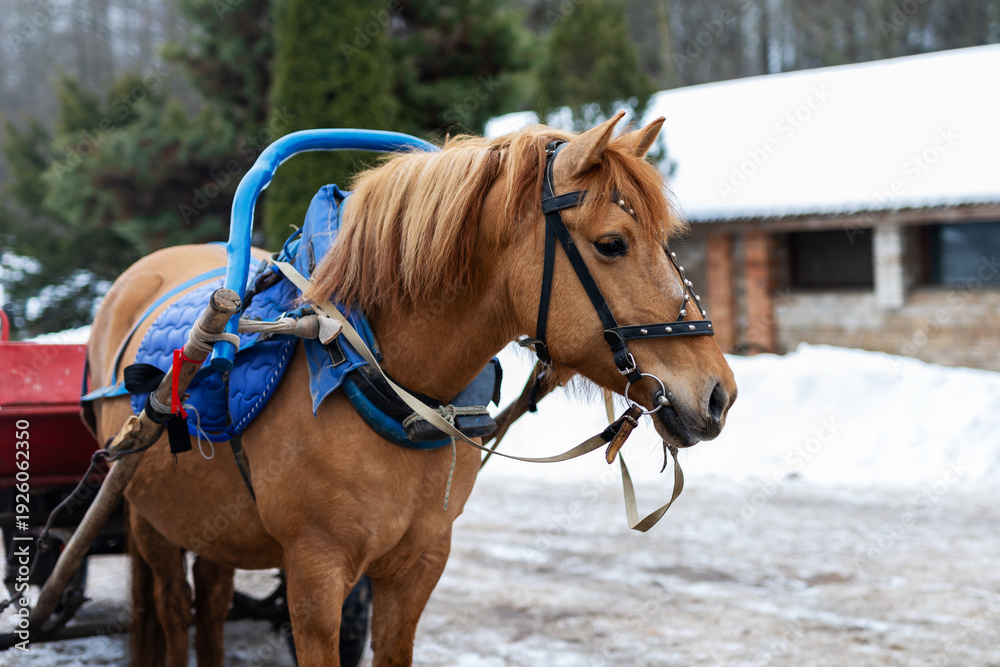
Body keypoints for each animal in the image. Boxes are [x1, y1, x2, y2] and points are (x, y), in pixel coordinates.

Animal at [84, 112, 737, 666]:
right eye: (611, 243)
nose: (717, 394)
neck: (379, 376)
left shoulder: (418, 564)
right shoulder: (315, 574)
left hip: (212, 525)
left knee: (212, 606)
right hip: (151, 519)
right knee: (175, 612)